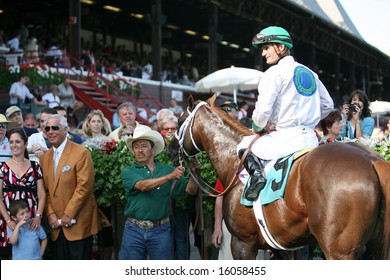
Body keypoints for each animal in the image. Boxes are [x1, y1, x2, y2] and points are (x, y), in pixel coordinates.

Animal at [167, 94, 390, 260]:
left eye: (180, 120)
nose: (170, 150)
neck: (233, 161)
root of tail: (372, 160)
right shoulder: (279, 246)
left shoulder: (243, 243)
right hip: (376, 248)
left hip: (340, 250)